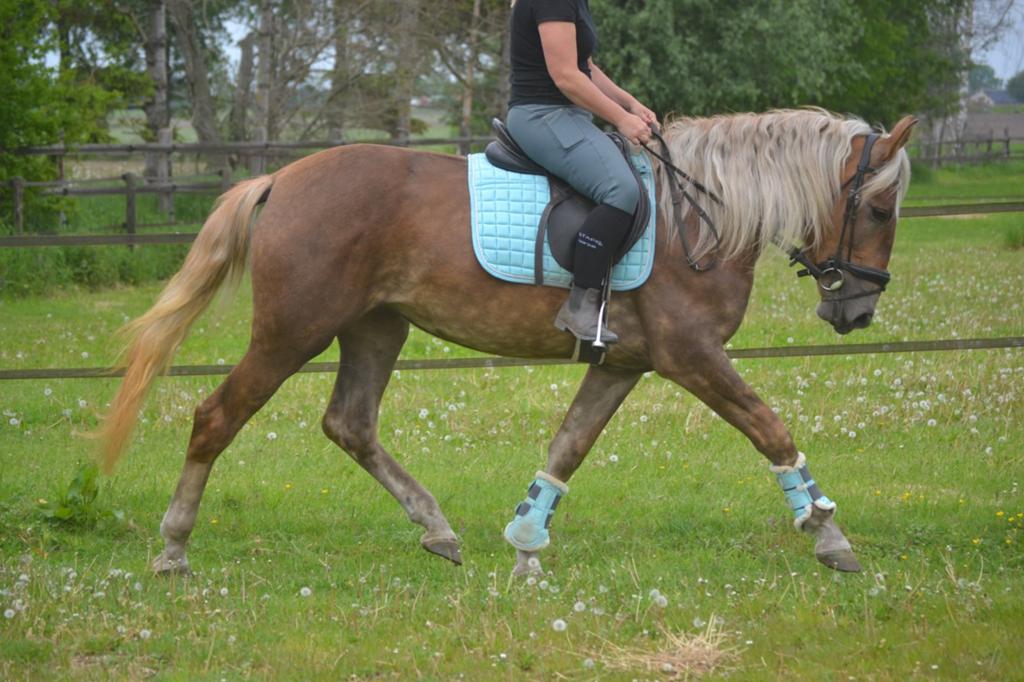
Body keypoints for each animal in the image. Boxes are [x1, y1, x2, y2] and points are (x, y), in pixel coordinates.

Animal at [98, 108, 916, 577]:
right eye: (879, 207)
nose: (859, 311)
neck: (701, 214)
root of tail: (283, 178)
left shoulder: (626, 362)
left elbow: (569, 446)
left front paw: (526, 543)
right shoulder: (691, 356)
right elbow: (770, 428)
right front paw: (828, 535)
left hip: (376, 326)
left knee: (350, 423)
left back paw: (437, 531)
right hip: (293, 330)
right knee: (216, 417)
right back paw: (173, 548)